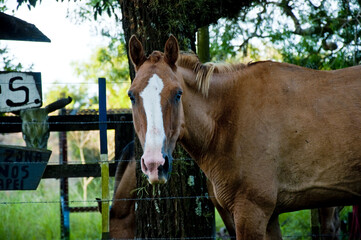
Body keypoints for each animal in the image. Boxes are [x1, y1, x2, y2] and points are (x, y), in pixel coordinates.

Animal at [126, 34, 360, 239]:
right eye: (132, 96)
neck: (229, 120)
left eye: (178, 94)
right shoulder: (268, 217)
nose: (155, 164)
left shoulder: (251, 211)